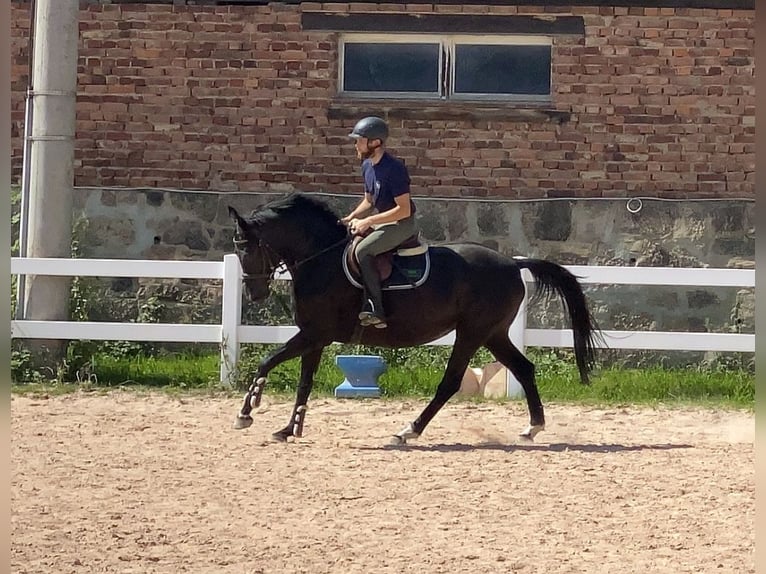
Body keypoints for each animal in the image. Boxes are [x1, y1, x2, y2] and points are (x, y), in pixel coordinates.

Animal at [228, 192, 602, 445]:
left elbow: (266, 361)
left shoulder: (314, 333)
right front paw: (289, 428)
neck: (322, 259)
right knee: (524, 369)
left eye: (248, 248)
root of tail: (513, 263)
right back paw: (532, 428)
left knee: (451, 382)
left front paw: (247, 411)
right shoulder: (314, 336)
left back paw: (408, 430)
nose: (254, 294)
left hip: (472, 333)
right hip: (494, 334)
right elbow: (304, 381)